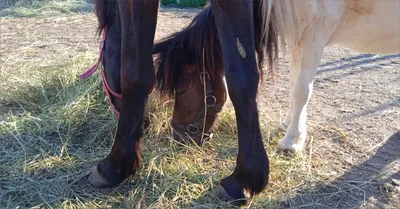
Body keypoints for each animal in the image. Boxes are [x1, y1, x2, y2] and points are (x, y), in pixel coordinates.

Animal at [260, 0, 400, 151]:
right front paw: (288, 125)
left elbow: (301, 91)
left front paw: (291, 140)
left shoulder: (315, 37)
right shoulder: (297, 39)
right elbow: (293, 85)